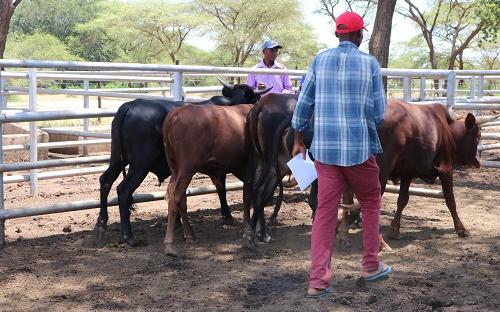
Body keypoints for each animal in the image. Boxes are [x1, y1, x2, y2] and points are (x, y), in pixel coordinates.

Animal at [96, 80, 272, 246]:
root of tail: (128, 107)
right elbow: (221, 188)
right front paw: (227, 215)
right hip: (140, 164)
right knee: (124, 190)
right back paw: (128, 236)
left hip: (118, 159)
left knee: (105, 181)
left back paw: (101, 224)